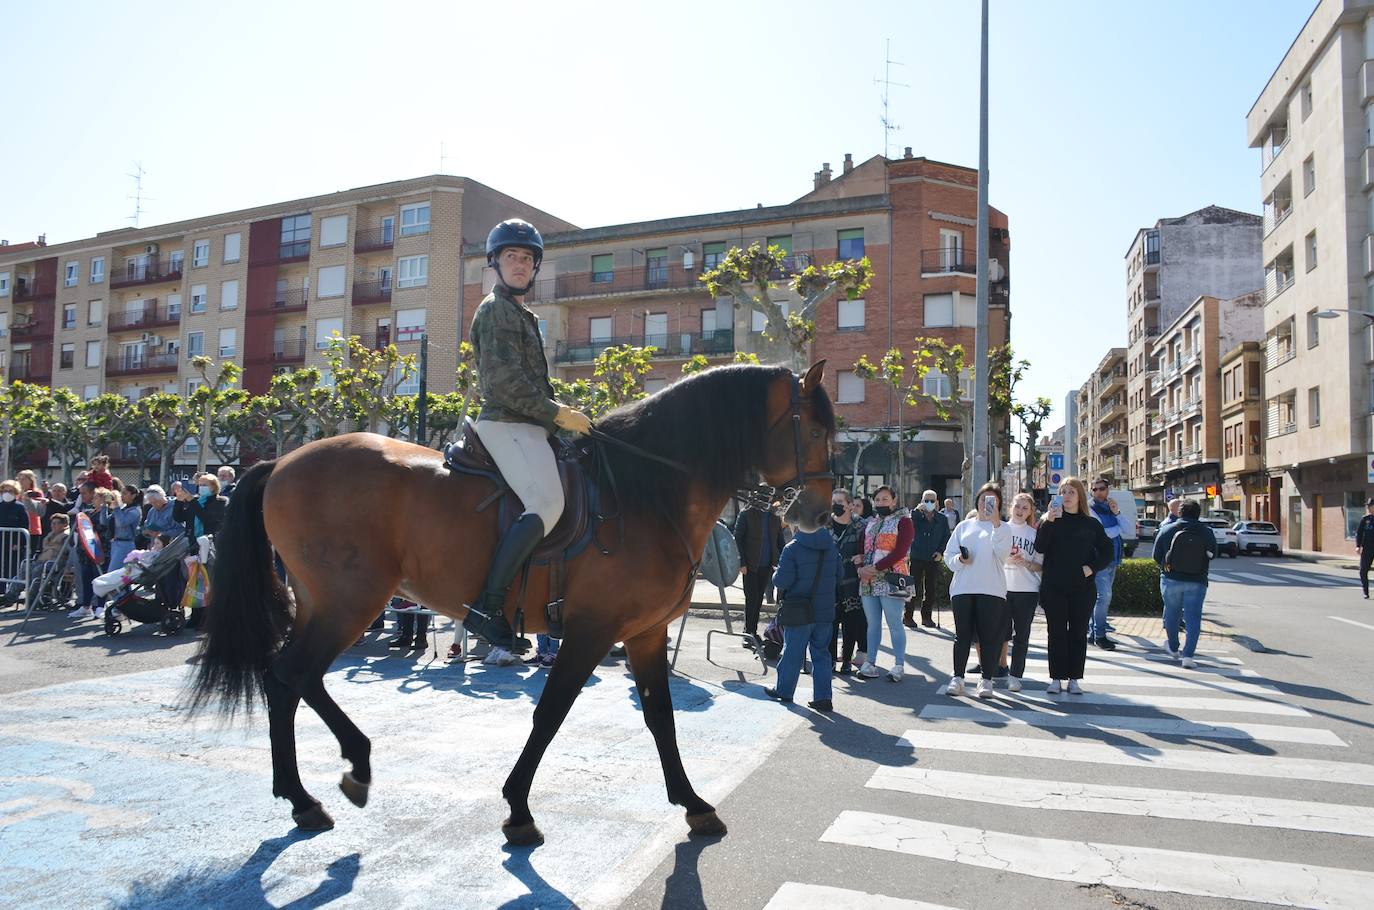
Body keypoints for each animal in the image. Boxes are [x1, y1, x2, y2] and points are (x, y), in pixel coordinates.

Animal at [186, 362, 835, 846]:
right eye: (816, 429)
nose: (817, 516)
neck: (646, 491)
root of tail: (280, 461)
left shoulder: (645, 634)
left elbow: (661, 718)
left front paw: (693, 803)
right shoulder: (591, 632)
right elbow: (550, 714)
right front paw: (518, 808)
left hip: (331, 604)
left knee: (290, 679)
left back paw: (326, 782)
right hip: (351, 600)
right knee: (293, 675)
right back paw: (329, 781)